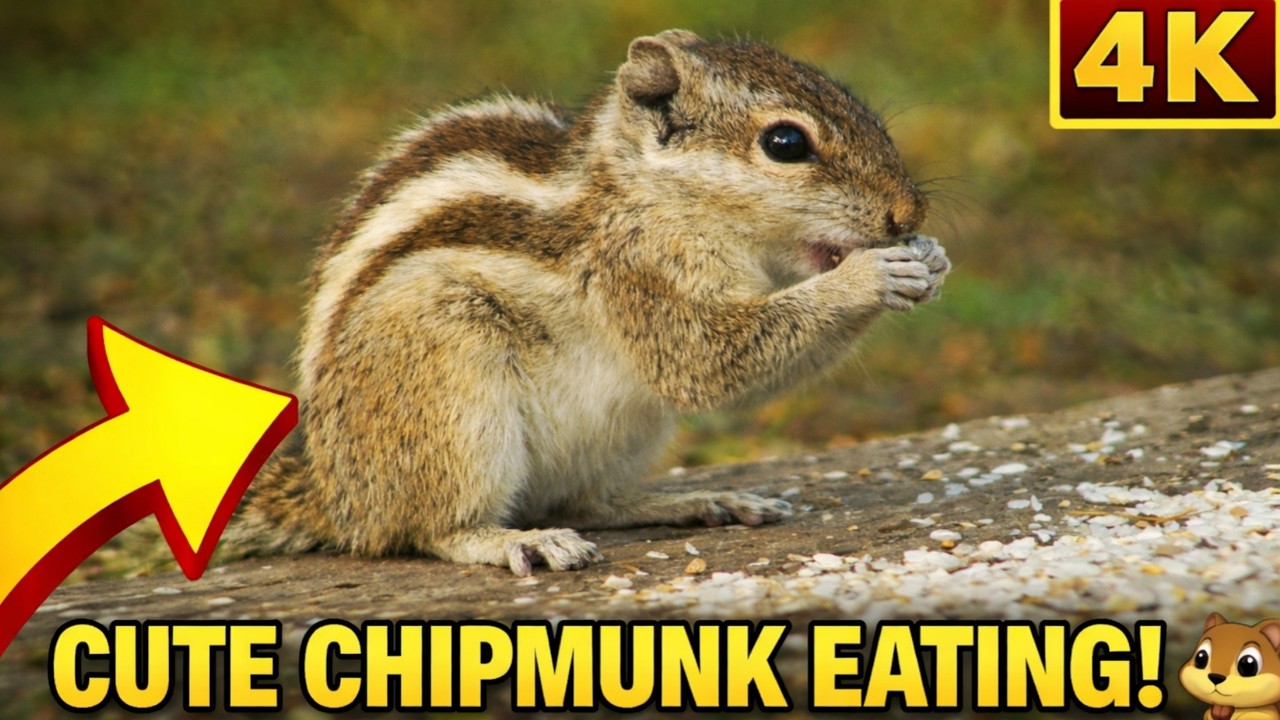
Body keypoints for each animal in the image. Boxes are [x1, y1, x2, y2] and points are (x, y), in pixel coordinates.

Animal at [220, 29, 950, 575]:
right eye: (786, 143)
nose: (908, 213)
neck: (647, 194)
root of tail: (334, 494)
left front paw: (932, 257)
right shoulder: (641, 273)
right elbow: (708, 362)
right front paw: (872, 276)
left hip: (620, 433)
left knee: (579, 503)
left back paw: (695, 500)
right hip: (448, 389)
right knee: (427, 529)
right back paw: (513, 540)